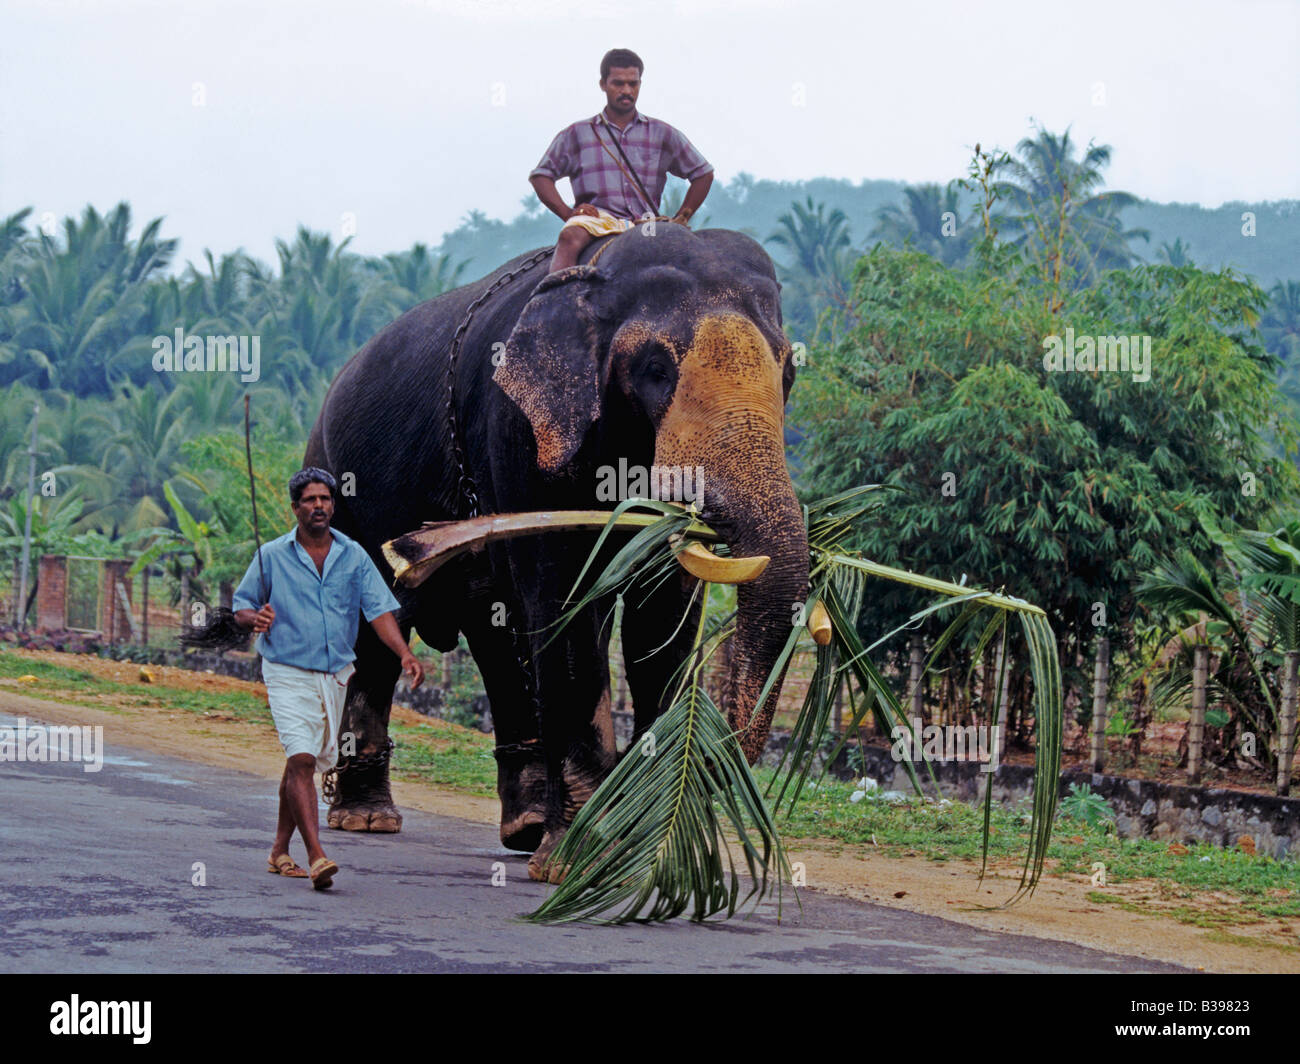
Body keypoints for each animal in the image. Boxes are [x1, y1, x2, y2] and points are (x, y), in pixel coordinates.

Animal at [304, 221, 809, 881]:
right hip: (340, 484)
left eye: (788, 372)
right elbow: (564, 596)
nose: (727, 754)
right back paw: (369, 819)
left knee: (493, 629)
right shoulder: (520, 433)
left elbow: (663, 614)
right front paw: (575, 862)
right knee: (383, 624)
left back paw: (525, 826)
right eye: (654, 369)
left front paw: (635, 851)